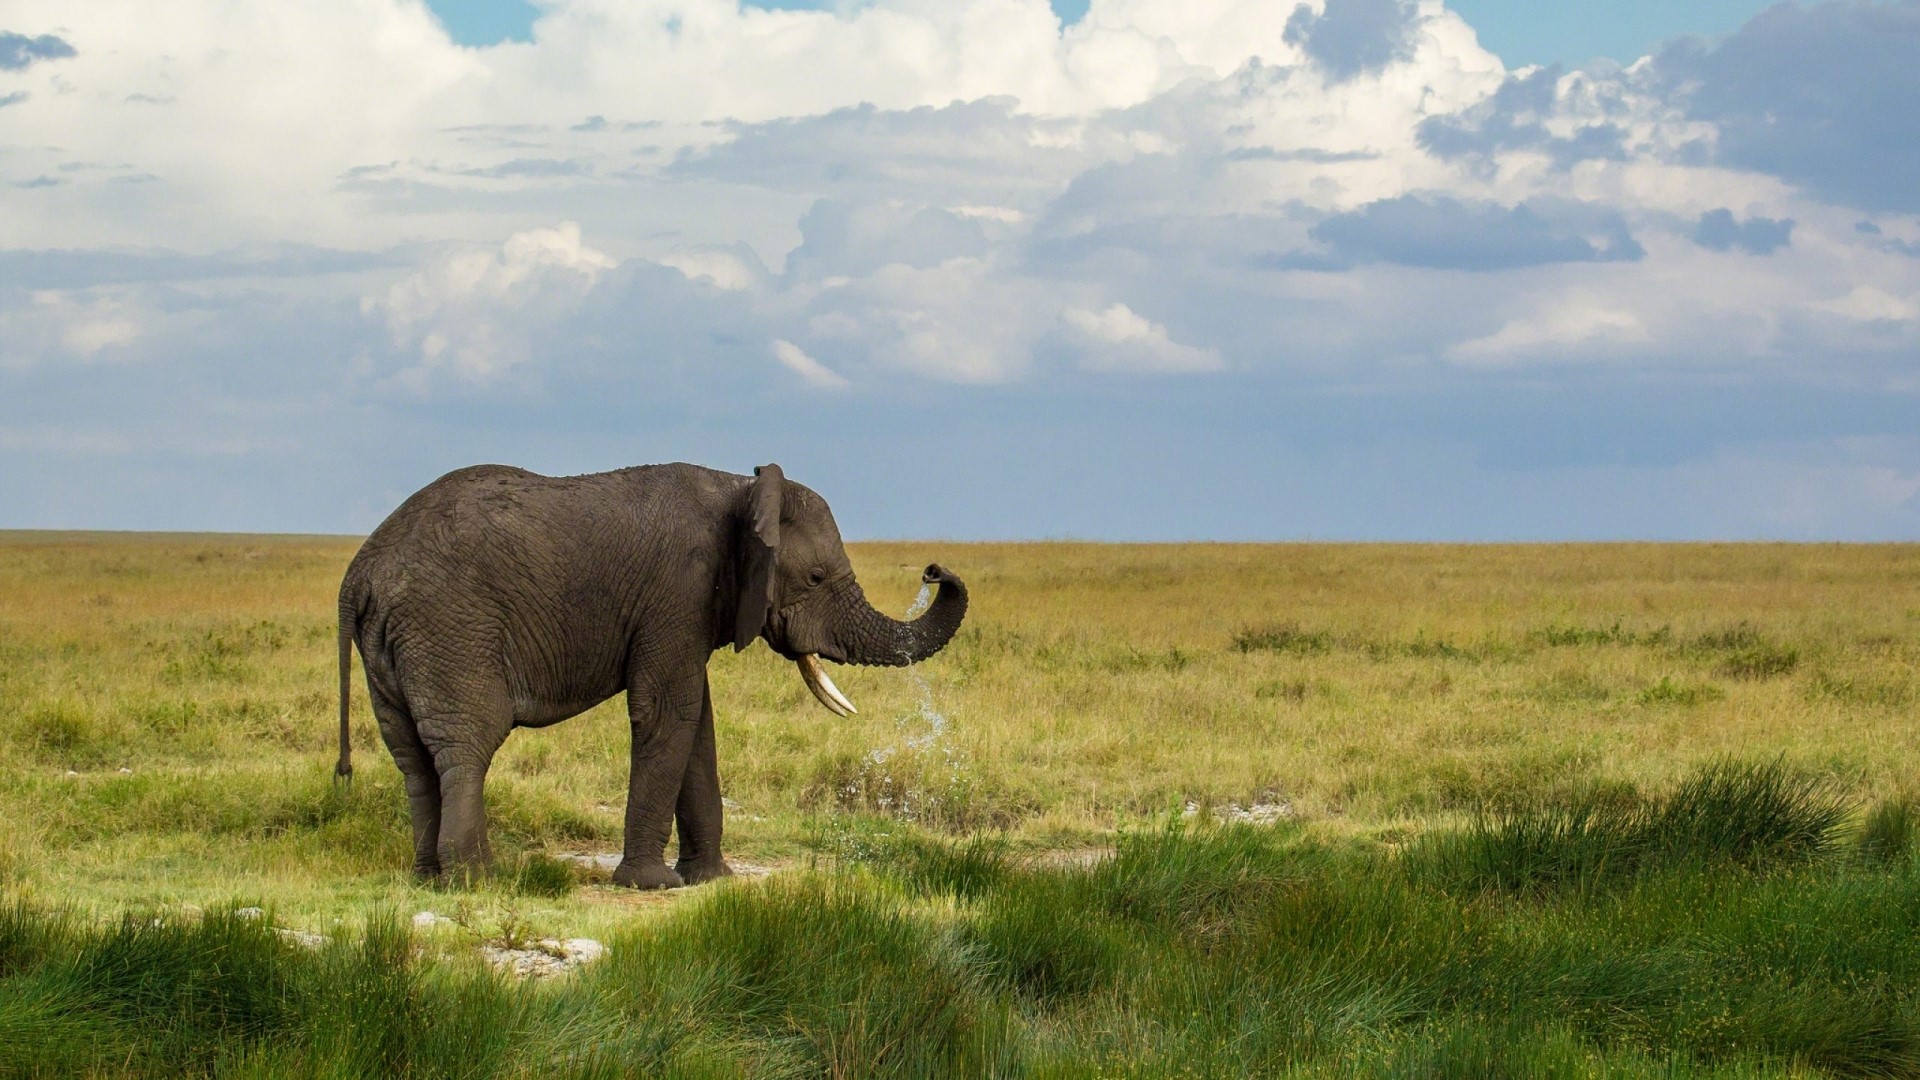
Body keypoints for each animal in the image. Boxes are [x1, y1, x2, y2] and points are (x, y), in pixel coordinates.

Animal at [333, 462, 967, 889]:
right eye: (814, 578)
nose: (934, 570)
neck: (740, 488)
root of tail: (359, 574)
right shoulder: (677, 590)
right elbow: (669, 712)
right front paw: (652, 884)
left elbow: (697, 724)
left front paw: (712, 879)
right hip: (450, 630)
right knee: (468, 745)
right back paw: (480, 879)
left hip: (392, 647)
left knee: (412, 756)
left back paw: (428, 877)